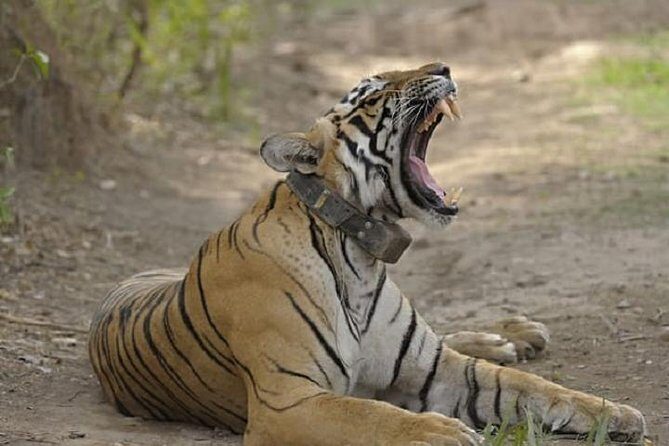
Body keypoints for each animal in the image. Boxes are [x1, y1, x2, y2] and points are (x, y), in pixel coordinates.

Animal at [88, 62, 647, 445]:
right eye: (376, 91)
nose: (444, 67)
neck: (359, 255)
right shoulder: (286, 402)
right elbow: (373, 415)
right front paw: (442, 433)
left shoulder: (440, 371)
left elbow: (535, 388)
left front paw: (616, 412)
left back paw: (513, 334)